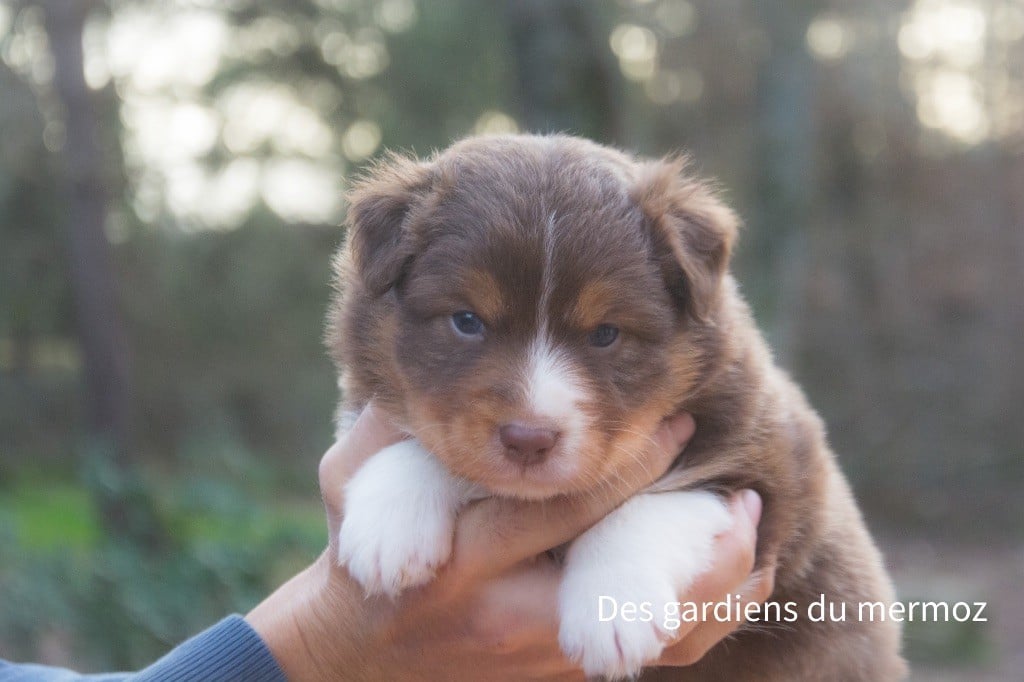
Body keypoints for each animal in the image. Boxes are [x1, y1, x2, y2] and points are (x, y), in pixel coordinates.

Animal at [325, 134, 905, 679]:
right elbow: (422, 439)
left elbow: (650, 504)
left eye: (605, 333)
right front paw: (389, 529)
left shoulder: (769, 471)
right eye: (466, 321)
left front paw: (612, 613)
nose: (529, 438)